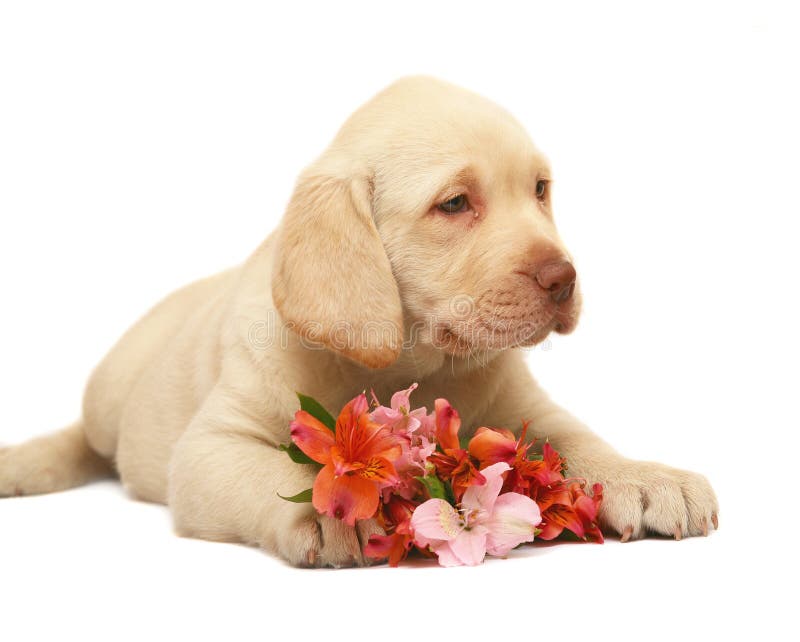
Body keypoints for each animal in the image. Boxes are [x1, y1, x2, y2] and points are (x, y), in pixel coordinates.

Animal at [0, 76, 720, 564]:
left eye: (541, 191)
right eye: (455, 204)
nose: (564, 279)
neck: (414, 363)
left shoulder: (526, 412)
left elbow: (578, 440)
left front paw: (646, 477)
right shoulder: (208, 451)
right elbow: (268, 471)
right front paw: (335, 510)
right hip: (111, 393)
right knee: (85, 440)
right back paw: (28, 463)